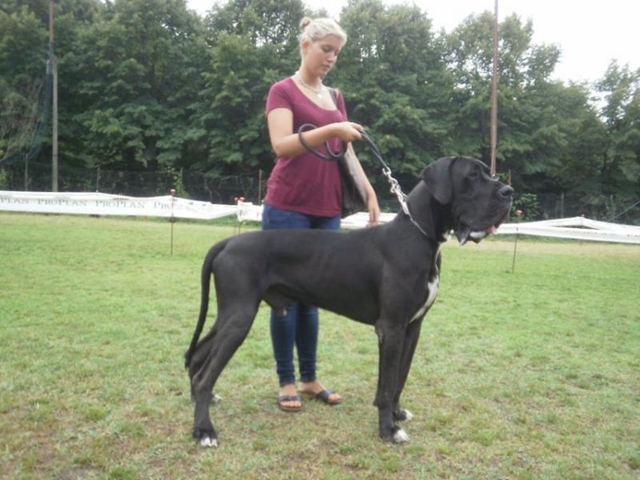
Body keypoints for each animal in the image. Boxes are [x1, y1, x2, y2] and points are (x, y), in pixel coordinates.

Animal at [186, 157, 516, 446]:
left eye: (488, 173)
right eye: (471, 176)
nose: (508, 192)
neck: (420, 235)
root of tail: (227, 242)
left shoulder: (412, 328)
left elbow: (399, 378)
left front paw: (397, 414)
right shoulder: (391, 328)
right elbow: (386, 384)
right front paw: (388, 430)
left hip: (229, 314)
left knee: (198, 356)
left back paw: (203, 404)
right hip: (240, 315)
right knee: (205, 375)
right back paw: (204, 430)